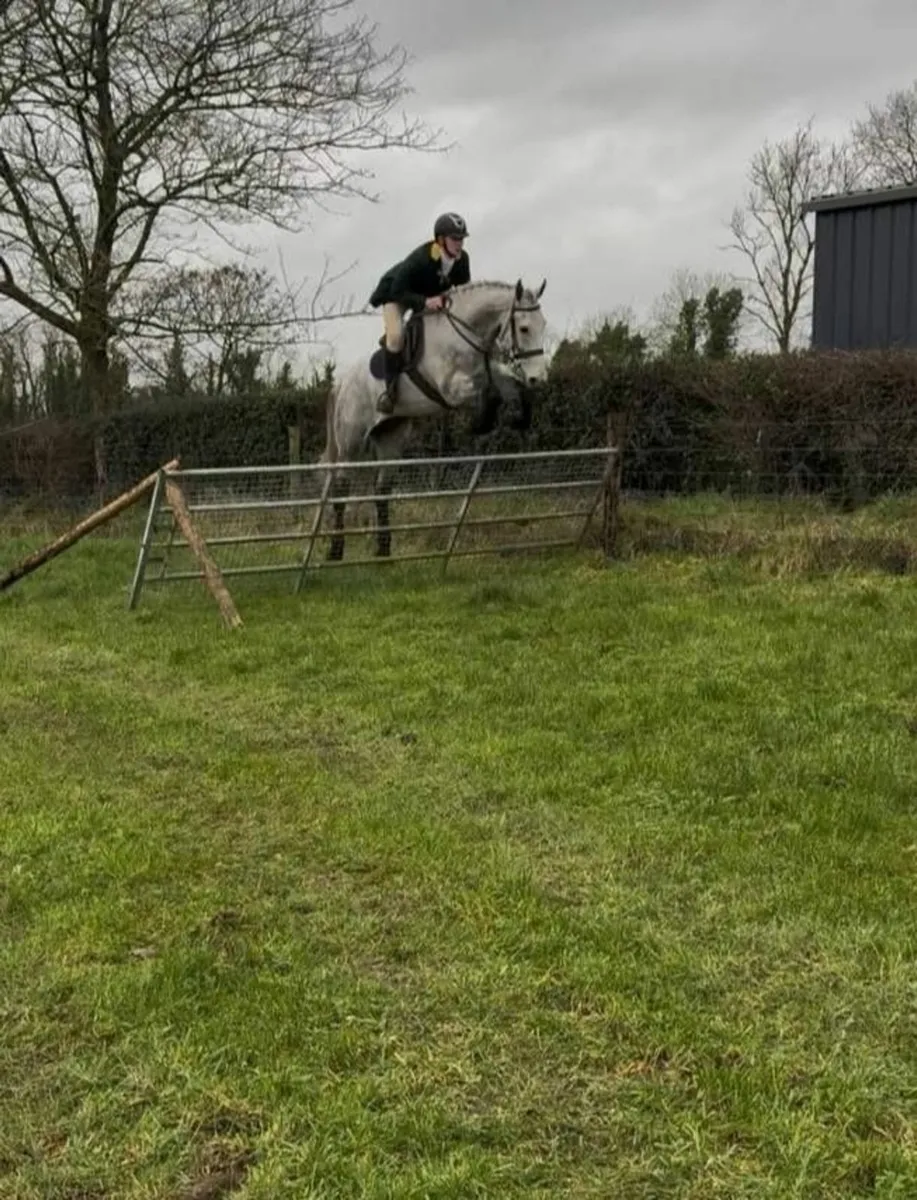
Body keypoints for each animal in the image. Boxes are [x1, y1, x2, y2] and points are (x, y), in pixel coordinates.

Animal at [318, 278, 549, 560]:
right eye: (525, 328)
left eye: (543, 325)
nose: (539, 378)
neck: (465, 333)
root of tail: (341, 382)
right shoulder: (451, 388)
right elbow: (488, 390)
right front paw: (482, 422)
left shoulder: (487, 371)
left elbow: (505, 380)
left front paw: (520, 415)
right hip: (350, 441)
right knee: (341, 486)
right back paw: (335, 552)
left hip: (391, 435)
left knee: (382, 488)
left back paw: (384, 551)